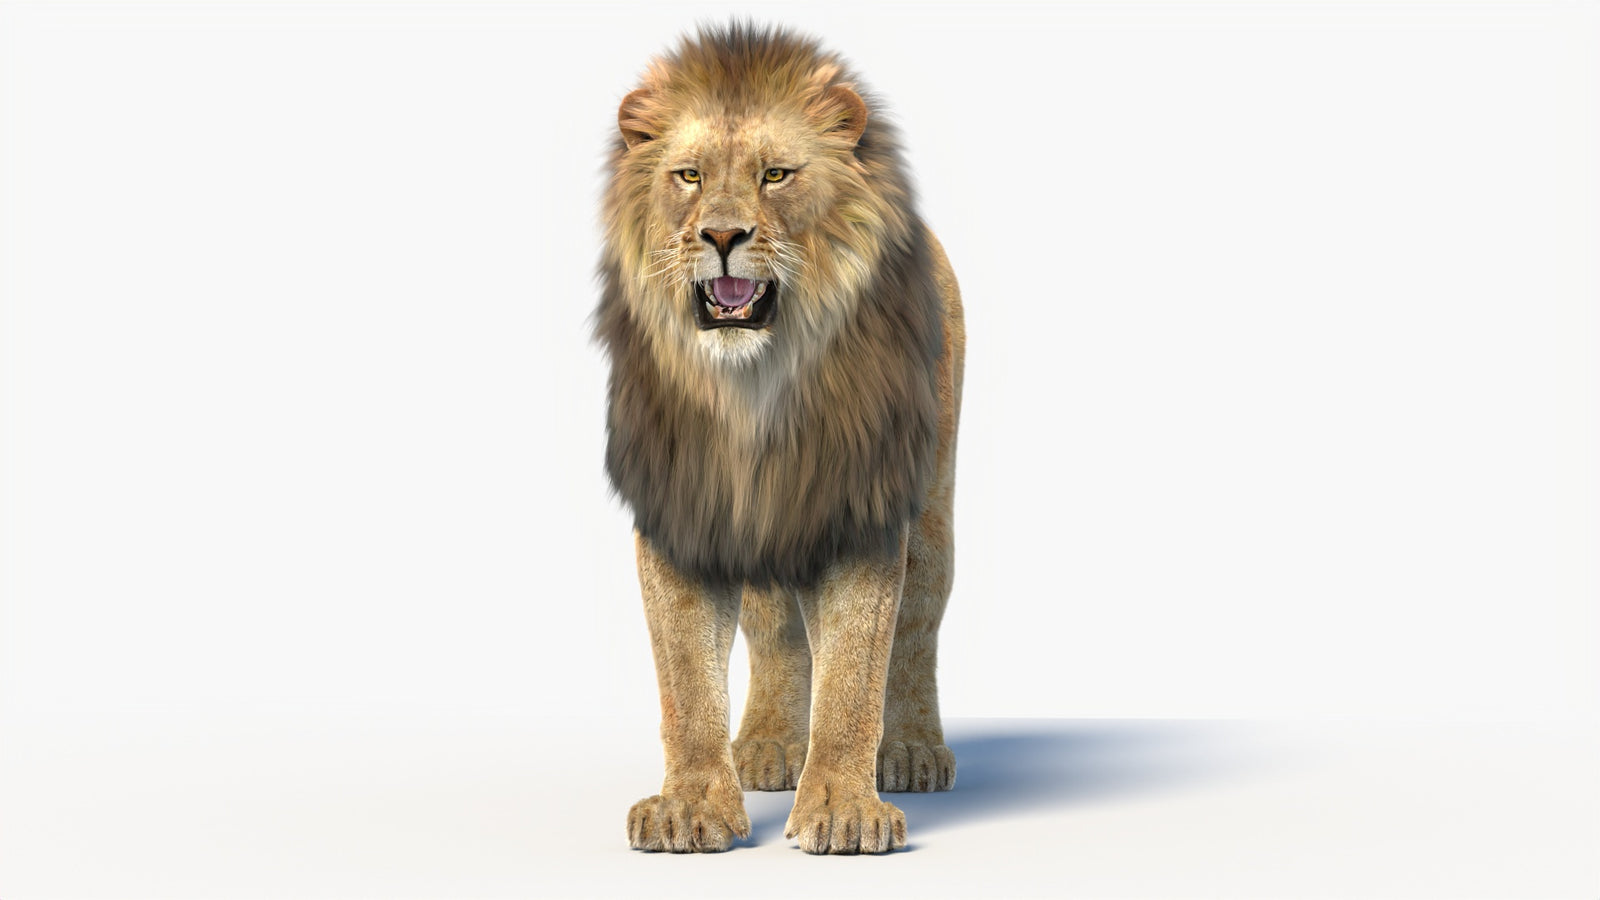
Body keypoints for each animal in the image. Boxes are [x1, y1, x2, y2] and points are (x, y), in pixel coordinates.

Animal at [595, 23, 964, 855]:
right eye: (689, 176)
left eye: (775, 175)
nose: (723, 235)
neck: (753, 395)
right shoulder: (682, 512)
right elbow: (685, 681)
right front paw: (691, 806)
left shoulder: (864, 508)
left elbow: (855, 672)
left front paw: (844, 810)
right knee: (772, 629)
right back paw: (766, 747)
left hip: (932, 509)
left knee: (919, 622)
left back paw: (912, 752)